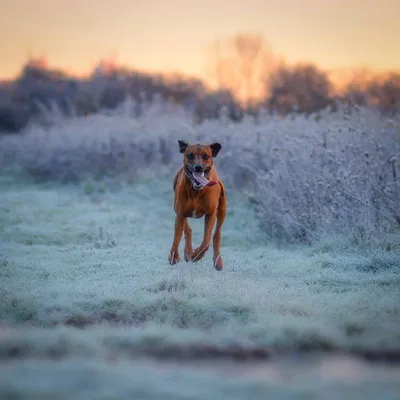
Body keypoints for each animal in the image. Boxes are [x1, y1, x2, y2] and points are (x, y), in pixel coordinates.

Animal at [167, 141, 227, 272]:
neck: (196, 191)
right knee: (187, 229)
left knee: (217, 234)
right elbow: (177, 236)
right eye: (190, 155)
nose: (198, 167)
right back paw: (187, 252)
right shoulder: (180, 213)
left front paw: (196, 255)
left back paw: (218, 261)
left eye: (206, 156)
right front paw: (175, 256)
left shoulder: (210, 214)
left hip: (222, 210)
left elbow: (206, 242)